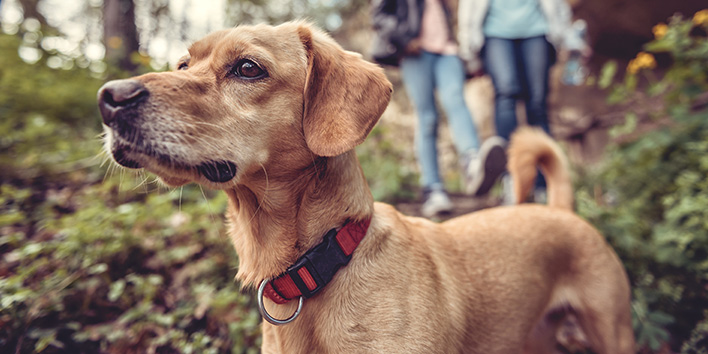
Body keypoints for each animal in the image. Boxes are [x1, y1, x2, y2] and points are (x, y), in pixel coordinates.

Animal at [97, 20, 632, 352]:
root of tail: (560, 210)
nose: (109, 97)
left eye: (248, 68)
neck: (321, 263)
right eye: (183, 65)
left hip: (612, 331)